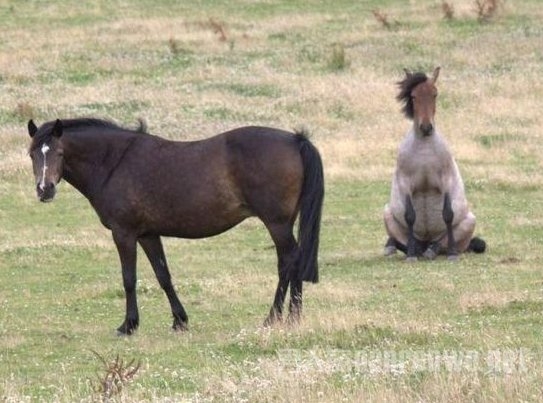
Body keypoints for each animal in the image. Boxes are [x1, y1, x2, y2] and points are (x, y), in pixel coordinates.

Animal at [26, 118, 324, 336]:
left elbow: (129, 279)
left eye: (60, 152)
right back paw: (292, 317)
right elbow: (163, 276)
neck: (114, 162)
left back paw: (276, 317)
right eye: (31, 154)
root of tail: (295, 139)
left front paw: (128, 325)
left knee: (288, 262)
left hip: (277, 224)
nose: (44, 189)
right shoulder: (148, 234)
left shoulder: (124, 233)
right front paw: (179, 320)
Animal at [384, 67, 486, 262]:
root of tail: (426, 242)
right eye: (413, 96)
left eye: (435, 94)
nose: (426, 127)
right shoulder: (405, 183)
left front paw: (453, 254)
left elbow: (448, 214)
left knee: (440, 245)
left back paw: (434, 250)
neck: (425, 149)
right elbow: (410, 215)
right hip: (387, 215)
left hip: (470, 221)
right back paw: (402, 248)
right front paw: (411, 256)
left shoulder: (446, 181)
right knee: (404, 242)